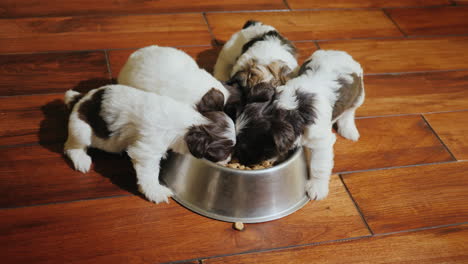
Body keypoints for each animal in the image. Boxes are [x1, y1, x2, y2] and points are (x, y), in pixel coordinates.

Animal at [64, 85, 236, 204]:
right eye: (224, 152)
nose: (229, 160)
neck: (190, 122)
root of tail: (81, 99)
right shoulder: (147, 150)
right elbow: (150, 173)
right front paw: (155, 191)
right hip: (82, 131)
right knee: (71, 146)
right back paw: (81, 159)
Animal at [236, 49, 364, 200]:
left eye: (249, 147)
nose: (240, 161)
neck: (293, 108)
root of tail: (340, 52)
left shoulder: (321, 142)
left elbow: (319, 166)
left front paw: (317, 188)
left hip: (359, 95)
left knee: (349, 113)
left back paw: (349, 131)